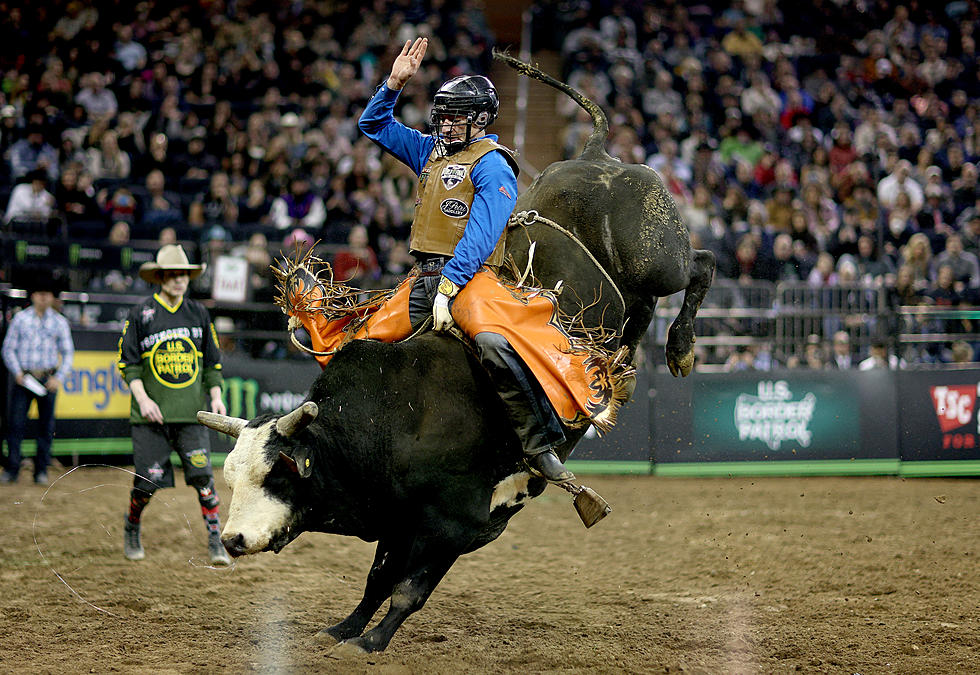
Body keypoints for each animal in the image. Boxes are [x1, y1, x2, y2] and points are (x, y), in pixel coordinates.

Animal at [199, 54, 716, 656]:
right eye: (231, 476)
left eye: (277, 473)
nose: (232, 539)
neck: (392, 419)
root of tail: (598, 156)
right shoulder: (398, 521)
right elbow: (378, 578)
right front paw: (346, 629)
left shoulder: (457, 525)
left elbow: (408, 589)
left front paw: (372, 642)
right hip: (637, 294)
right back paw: (628, 375)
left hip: (657, 256)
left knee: (700, 263)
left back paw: (681, 350)